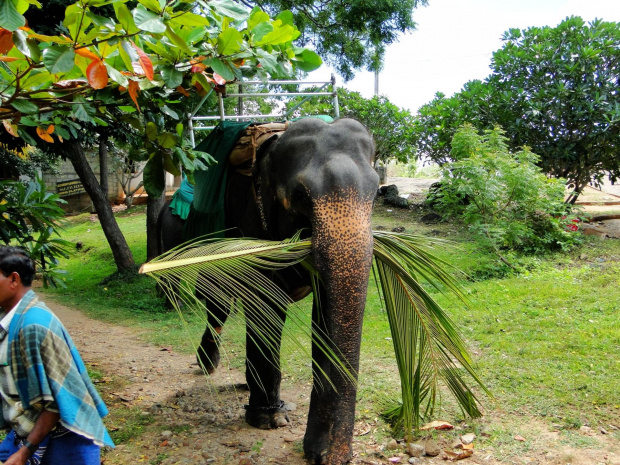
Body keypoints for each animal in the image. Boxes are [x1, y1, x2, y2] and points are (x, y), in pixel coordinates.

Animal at [156, 118, 378, 462]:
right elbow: (266, 308)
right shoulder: (251, 222)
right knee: (215, 301)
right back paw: (208, 365)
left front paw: (316, 449)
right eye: (299, 195)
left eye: (377, 192)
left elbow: (323, 316)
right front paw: (269, 419)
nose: (332, 456)